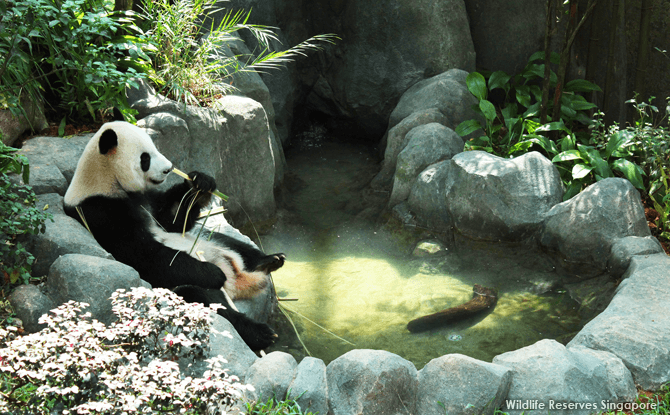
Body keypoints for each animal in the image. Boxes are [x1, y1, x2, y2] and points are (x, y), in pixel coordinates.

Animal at [66, 111, 288, 352]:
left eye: (155, 147)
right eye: (145, 158)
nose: (168, 168)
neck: (105, 180)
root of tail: (237, 281)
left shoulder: (146, 200)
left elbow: (171, 221)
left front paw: (201, 184)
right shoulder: (101, 213)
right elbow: (145, 254)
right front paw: (212, 272)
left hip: (209, 241)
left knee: (233, 243)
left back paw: (269, 260)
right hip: (186, 286)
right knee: (207, 299)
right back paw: (259, 332)